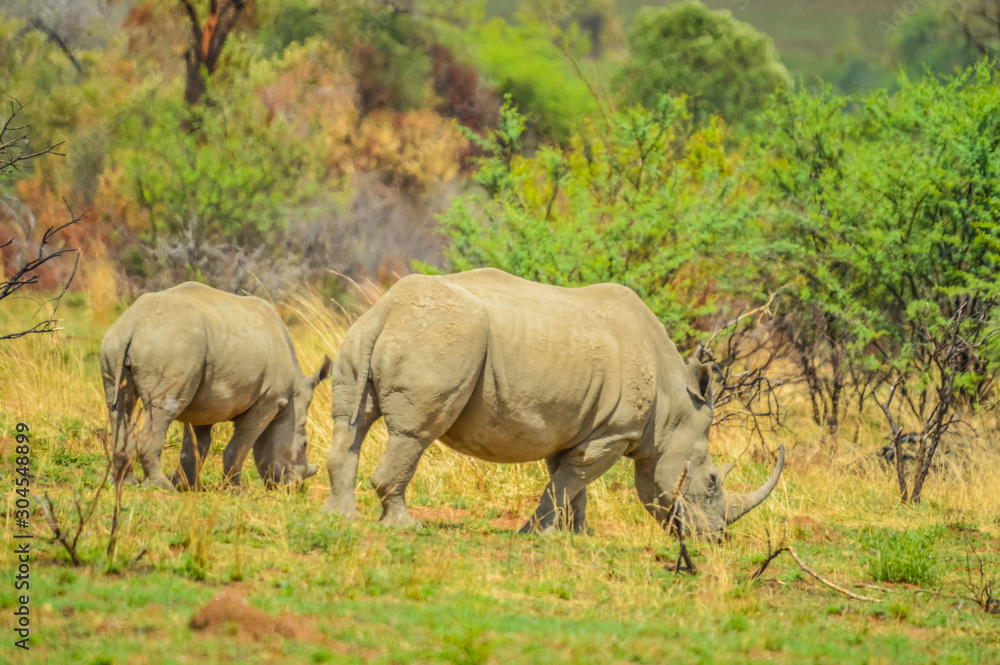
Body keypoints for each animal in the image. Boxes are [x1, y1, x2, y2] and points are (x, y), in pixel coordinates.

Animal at [100, 282, 331, 490]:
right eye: (304, 444)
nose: (295, 488)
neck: (292, 399)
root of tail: (134, 322)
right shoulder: (270, 400)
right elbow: (240, 446)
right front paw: (236, 491)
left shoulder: (204, 406)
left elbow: (197, 446)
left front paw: (186, 486)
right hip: (168, 344)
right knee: (160, 411)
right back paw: (160, 487)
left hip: (118, 341)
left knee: (119, 407)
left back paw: (124, 483)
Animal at [322, 268, 783, 538]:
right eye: (712, 481)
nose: (717, 539)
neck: (674, 409)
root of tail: (388, 309)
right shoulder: (614, 433)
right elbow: (566, 484)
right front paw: (536, 534)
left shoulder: (576, 425)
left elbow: (571, 483)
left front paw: (578, 537)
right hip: (439, 337)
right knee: (413, 434)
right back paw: (403, 526)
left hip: (367, 332)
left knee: (350, 423)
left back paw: (342, 518)